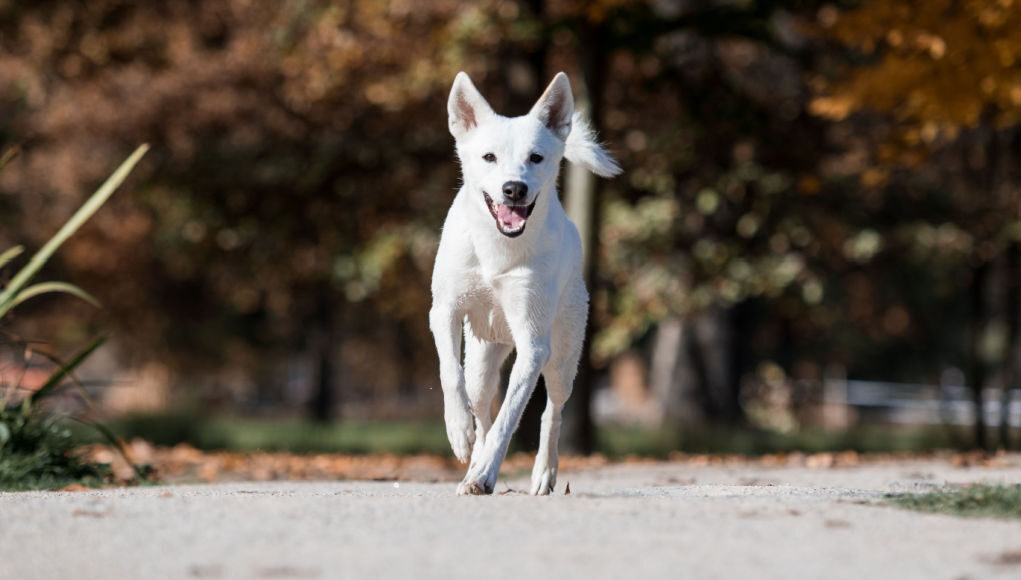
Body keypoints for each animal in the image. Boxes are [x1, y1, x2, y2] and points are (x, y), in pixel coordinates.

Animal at [430, 70, 620, 492]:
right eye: (489, 157)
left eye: (536, 157)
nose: (514, 188)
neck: (497, 248)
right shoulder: (444, 311)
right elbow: (450, 374)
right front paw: (458, 432)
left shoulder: (533, 347)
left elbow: (510, 417)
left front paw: (486, 474)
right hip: (482, 360)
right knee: (480, 405)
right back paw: (472, 453)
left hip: (563, 356)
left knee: (553, 411)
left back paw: (542, 473)